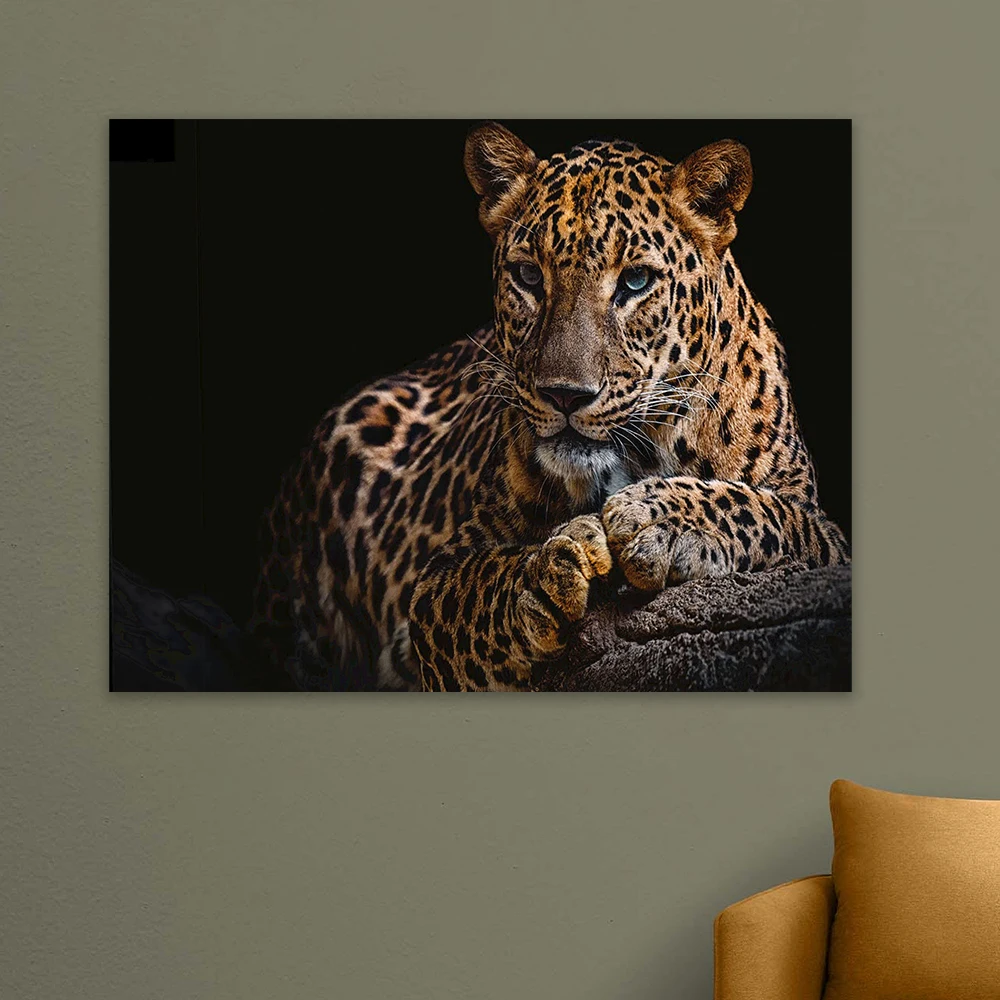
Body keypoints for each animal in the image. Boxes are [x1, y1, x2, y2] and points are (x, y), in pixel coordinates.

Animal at [249, 122, 850, 692]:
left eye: (636, 280)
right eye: (529, 276)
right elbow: (476, 589)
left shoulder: (824, 534)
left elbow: (767, 512)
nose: (564, 394)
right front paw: (542, 576)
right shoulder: (435, 583)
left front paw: (660, 518)